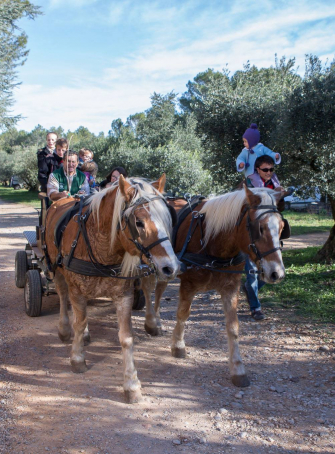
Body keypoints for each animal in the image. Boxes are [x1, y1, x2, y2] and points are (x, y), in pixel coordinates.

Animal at [45, 175, 181, 404]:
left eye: (167, 219)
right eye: (138, 222)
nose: (170, 266)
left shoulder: (123, 295)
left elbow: (126, 338)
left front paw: (131, 384)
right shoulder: (76, 288)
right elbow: (78, 323)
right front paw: (77, 358)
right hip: (57, 270)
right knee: (64, 297)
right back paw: (65, 329)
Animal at [143, 186, 288, 388]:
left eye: (282, 227)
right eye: (260, 228)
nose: (277, 273)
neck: (211, 240)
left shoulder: (230, 287)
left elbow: (233, 327)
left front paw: (237, 368)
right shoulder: (189, 284)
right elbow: (182, 314)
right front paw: (178, 345)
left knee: (159, 290)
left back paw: (156, 319)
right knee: (147, 288)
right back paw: (151, 322)